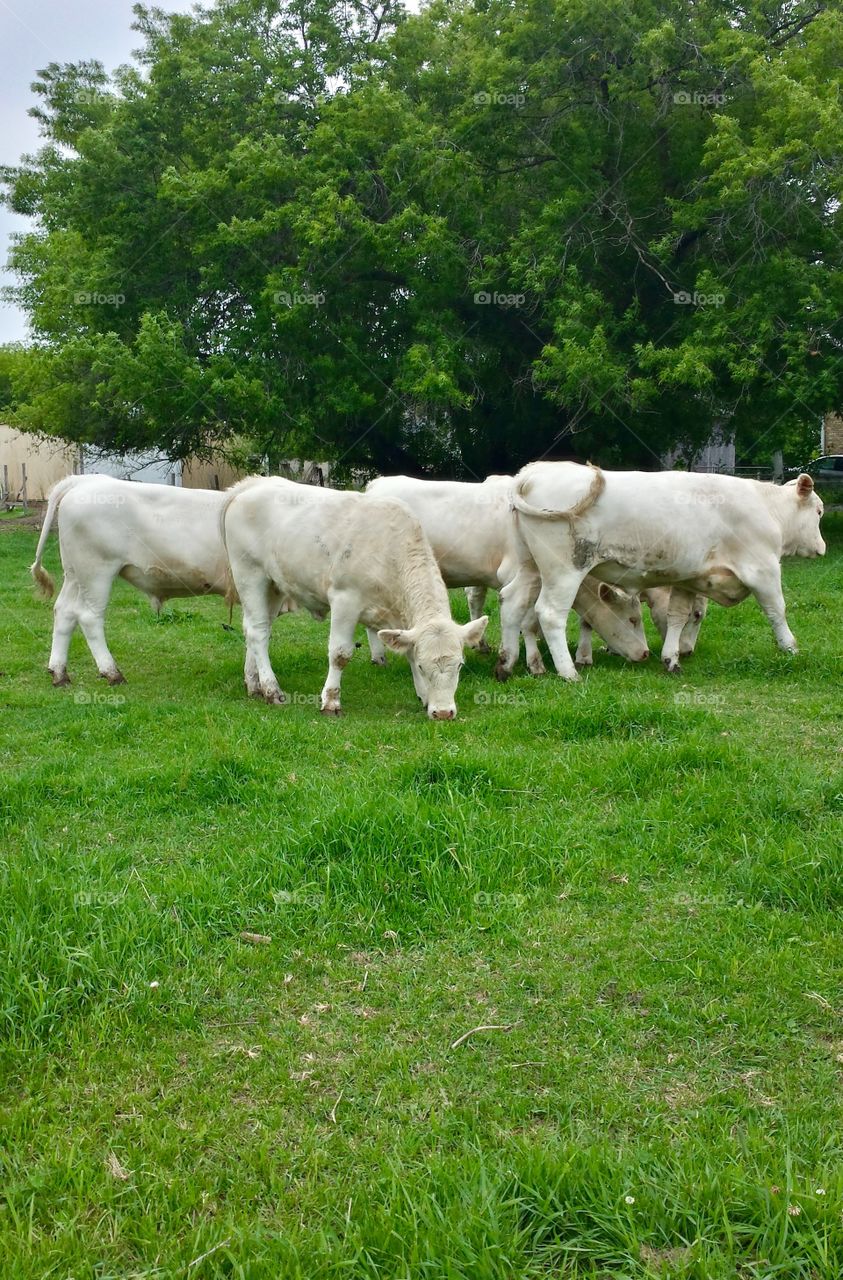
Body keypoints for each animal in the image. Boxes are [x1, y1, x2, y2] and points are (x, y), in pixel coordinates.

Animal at [30, 476, 257, 686]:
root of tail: (85, 479)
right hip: (96, 570)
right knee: (89, 616)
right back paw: (112, 673)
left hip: (74, 574)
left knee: (64, 611)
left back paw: (59, 673)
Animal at [221, 481, 491, 721]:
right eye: (425, 667)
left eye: (460, 665)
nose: (444, 713)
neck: (390, 550)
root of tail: (251, 485)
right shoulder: (345, 599)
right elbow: (340, 654)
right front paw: (331, 702)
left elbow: (408, 651)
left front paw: (424, 696)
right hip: (250, 574)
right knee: (257, 631)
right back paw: (271, 689)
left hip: (275, 584)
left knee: (258, 629)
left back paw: (254, 684)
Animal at [365, 476, 649, 680]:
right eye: (632, 619)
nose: (645, 654)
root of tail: (375, 484)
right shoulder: (523, 577)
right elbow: (528, 622)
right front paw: (536, 664)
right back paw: (379, 657)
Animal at [511, 463, 828, 680]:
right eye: (819, 512)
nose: (822, 548)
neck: (766, 506)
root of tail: (535, 470)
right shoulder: (763, 570)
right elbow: (777, 611)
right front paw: (790, 649)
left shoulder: (689, 579)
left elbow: (676, 616)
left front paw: (672, 658)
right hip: (564, 571)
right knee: (550, 614)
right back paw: (568, 672)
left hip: (529, 569)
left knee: (515, 604)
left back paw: (513, 662)